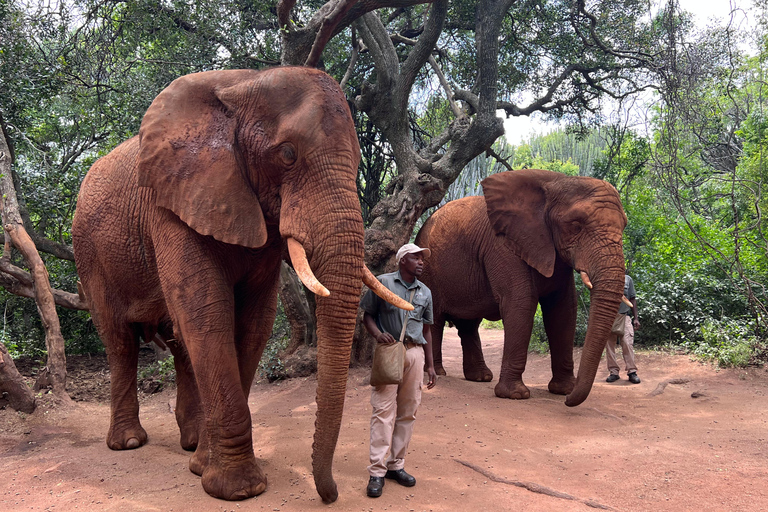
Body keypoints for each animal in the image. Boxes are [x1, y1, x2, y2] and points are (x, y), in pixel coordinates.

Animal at [71, 66, 408, 502]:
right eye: (287, 154)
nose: (331, 494)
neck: (245, 83)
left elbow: (253, 323)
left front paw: (202, 467)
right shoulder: (171, 204)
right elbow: (207, 313)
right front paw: (239, 489)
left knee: (178, 343)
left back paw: (191, 444)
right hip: (89, 253)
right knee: (121, 342)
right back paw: (129, 443)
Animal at [416, 170, 628, 406]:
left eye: (625, 226)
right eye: (575, 225)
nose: (568, 401)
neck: (555, 181)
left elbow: (563, 309)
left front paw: (563, 390)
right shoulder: (502, 246)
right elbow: (521, 302)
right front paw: (515, 395)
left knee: (469, 324)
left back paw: (480, 377)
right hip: (428, 268)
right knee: (435, 319)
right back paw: (438, 373)